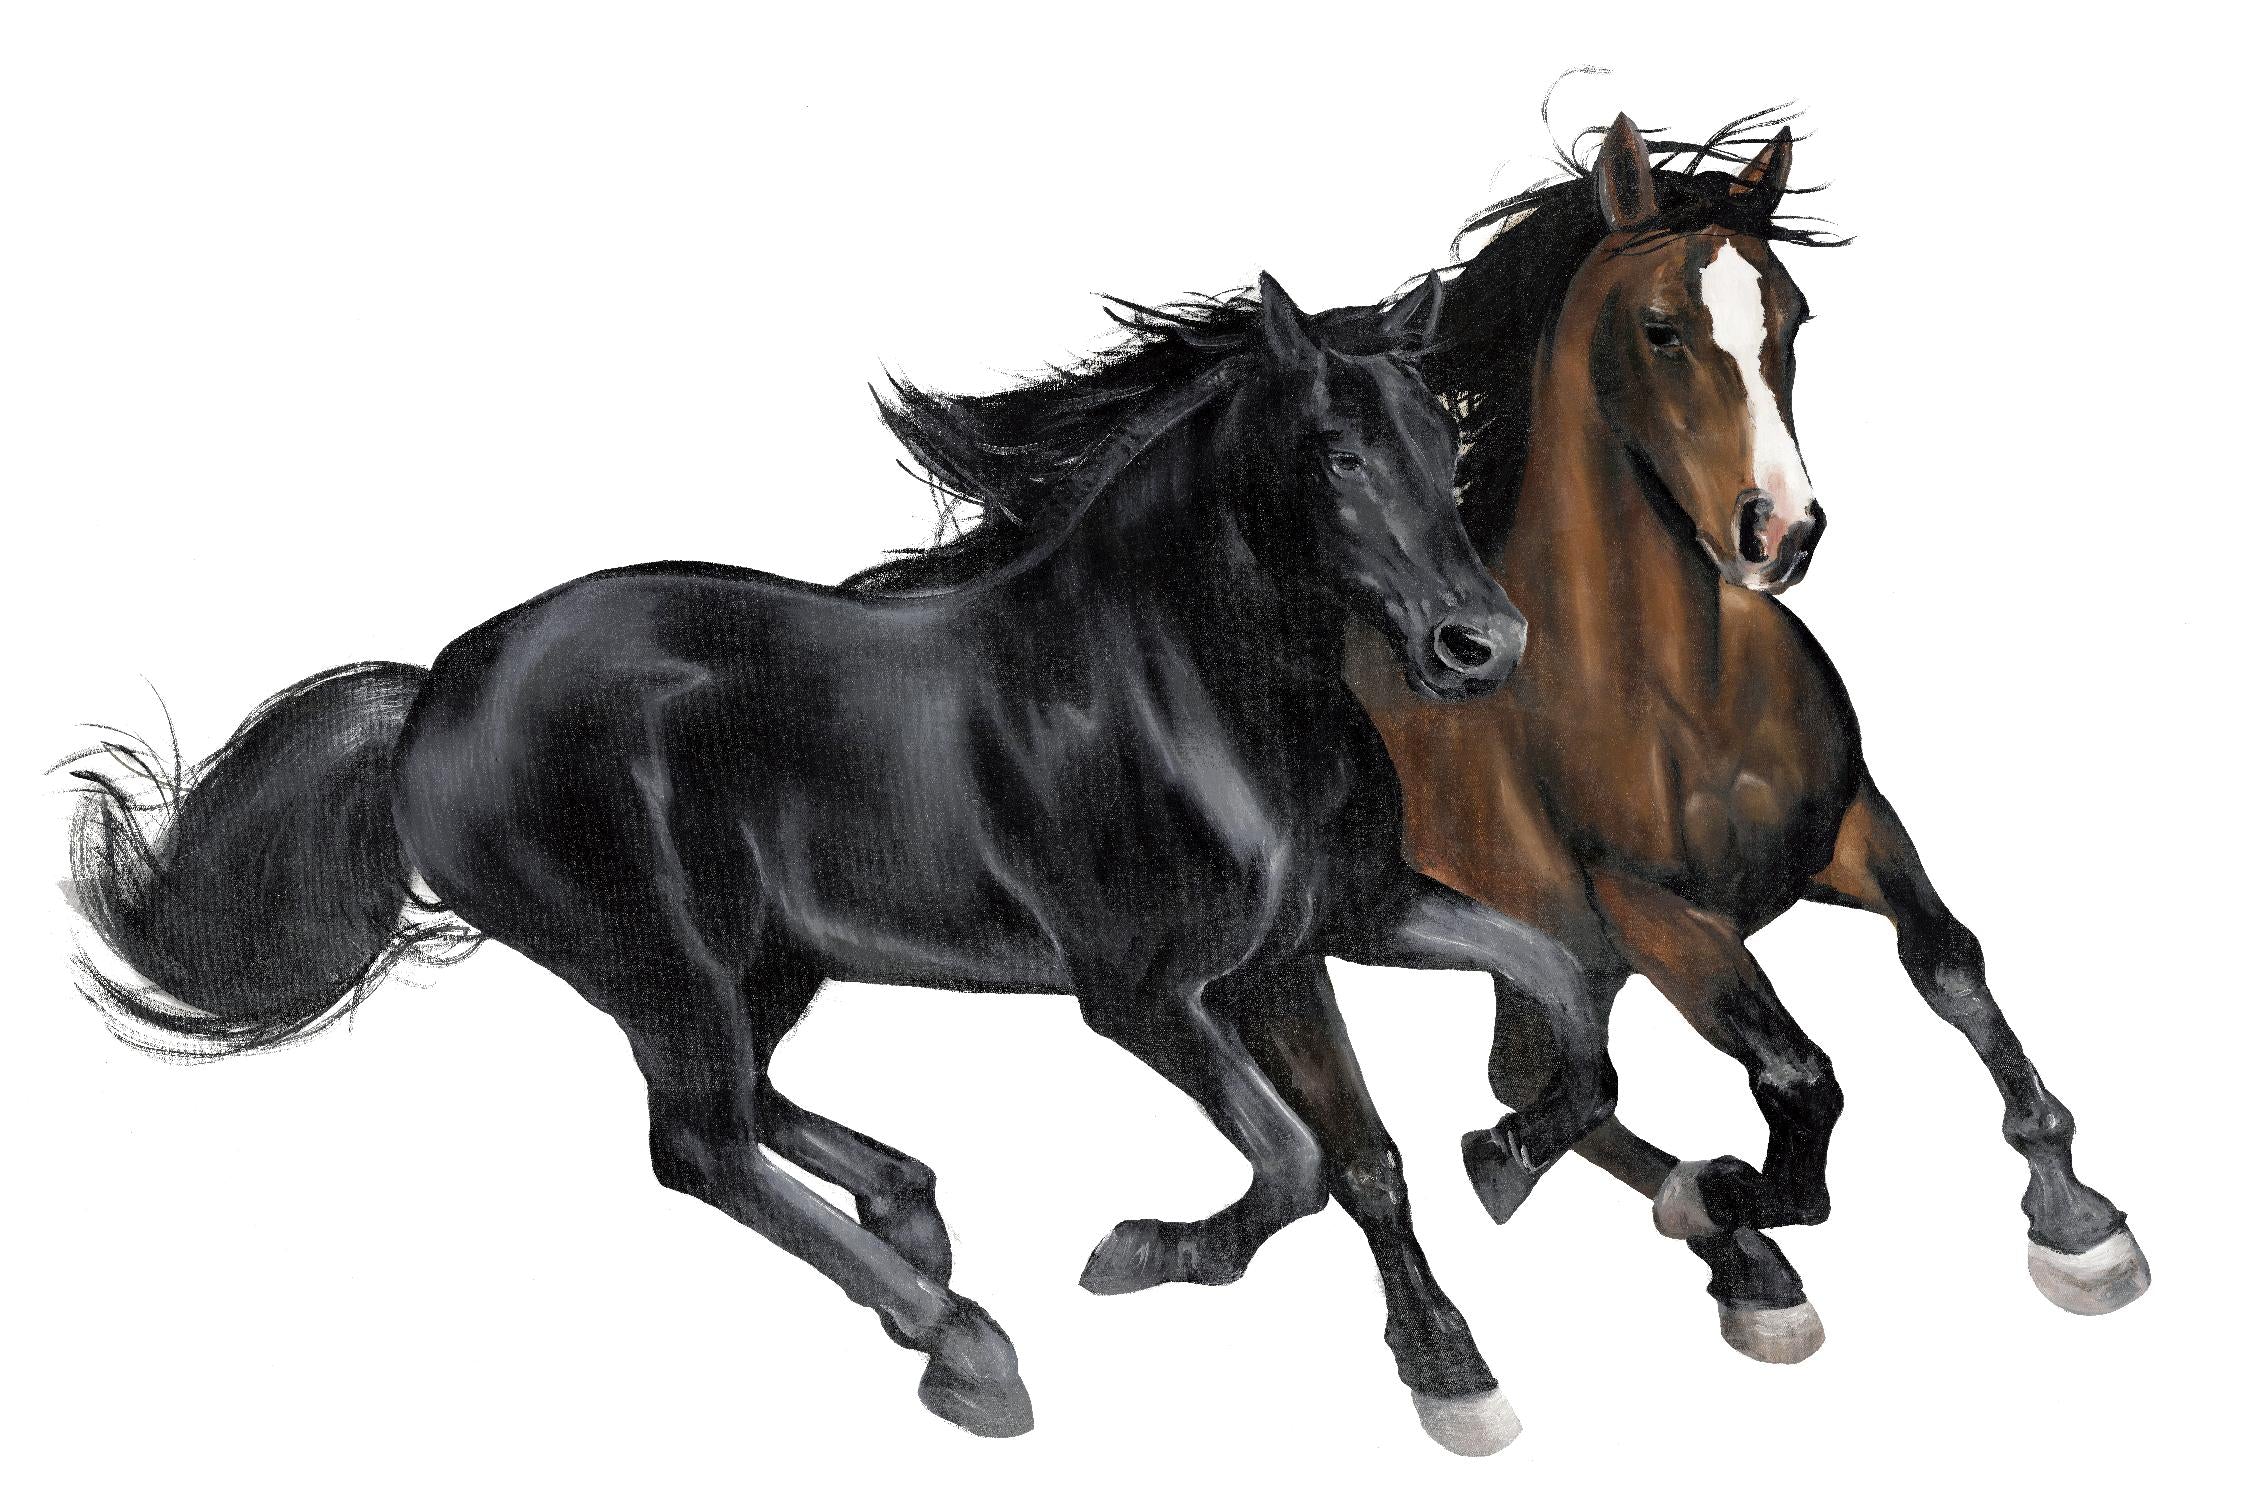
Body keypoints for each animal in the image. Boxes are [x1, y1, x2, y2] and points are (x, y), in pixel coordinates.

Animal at [67, 274, 1618, 1455]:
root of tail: (436, 687)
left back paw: (914, 1219)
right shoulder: (1144, 992)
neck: (1181, 689)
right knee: (697, 1142)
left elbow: (1494, 1043)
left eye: (1441, 443)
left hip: (762, 961)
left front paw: (1470, 1305)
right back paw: (968, 1348)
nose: (1481, 647)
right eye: (1336, 453)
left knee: (739, 1108)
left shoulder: (1323, 934)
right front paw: (1144, 1254)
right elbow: (1296, 1159)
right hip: (662, 961)